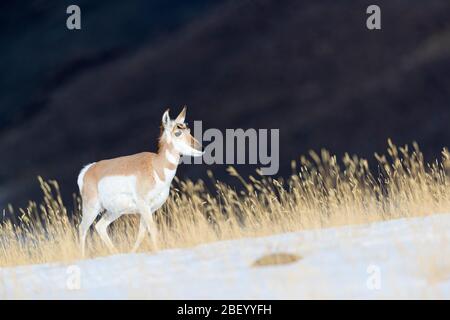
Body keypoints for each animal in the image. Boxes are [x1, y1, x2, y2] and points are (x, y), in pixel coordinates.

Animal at [78, 107, 203, 258]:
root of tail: (88, 169)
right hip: (92, 208)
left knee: (100, 226)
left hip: (114, 211)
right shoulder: (144, 206)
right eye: (177, 133)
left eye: (189, 130)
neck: (156, 167)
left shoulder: (150, 208)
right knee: (82, 228)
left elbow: (142, 233)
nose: (200, 148)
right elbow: (153, 230)